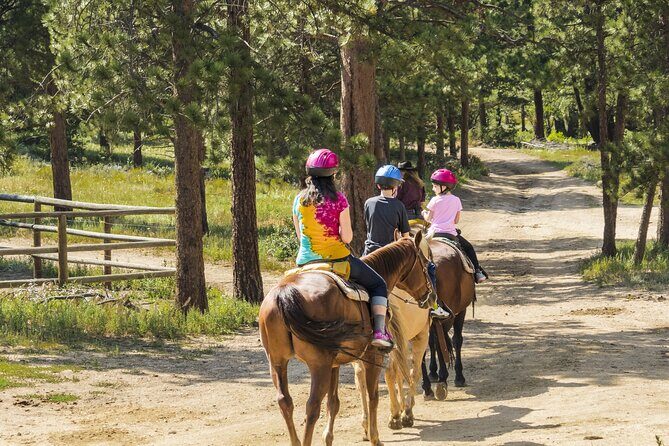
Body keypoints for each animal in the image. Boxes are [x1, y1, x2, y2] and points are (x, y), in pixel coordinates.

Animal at [258, 233, 435, 446]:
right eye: (426, 263)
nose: (431, 295)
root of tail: (284, 293)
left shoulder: (335, 364)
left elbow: (334, 402)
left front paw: (328, 438)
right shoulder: (372, 357)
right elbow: (373, 396)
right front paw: (375, 437)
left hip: (277, 362)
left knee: (285, 402)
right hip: (318, 366)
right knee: (312, 406)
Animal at [421, 238, 476, 400]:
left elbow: (432, 342)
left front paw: (433, 372)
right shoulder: (460, 312)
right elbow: (456, 340)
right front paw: (458, 376)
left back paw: (427, 387)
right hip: (450, 315)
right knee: (443, 342)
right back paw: (442, 381)